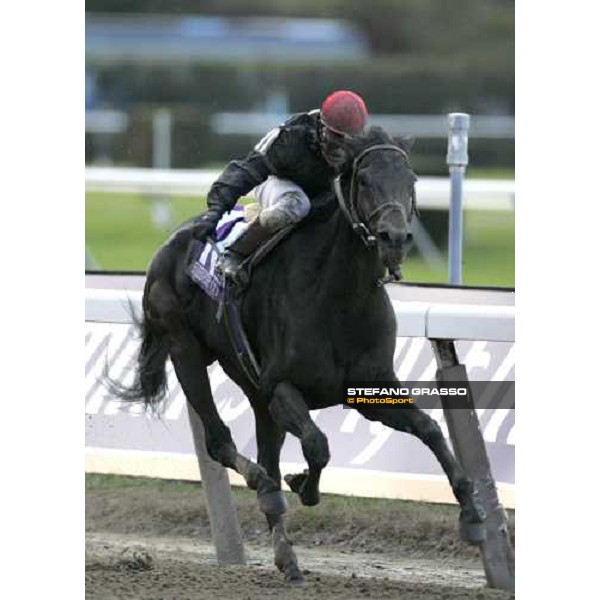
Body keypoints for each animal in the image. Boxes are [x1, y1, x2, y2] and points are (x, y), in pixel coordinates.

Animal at [112, 126, 486, 580]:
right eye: (364, 180)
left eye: (411, 180)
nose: (394, 238)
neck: (340, 298)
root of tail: (169, 245)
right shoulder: (282, 387)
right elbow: (317, 444)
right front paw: (303, 485)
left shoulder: (370, 393)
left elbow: (431, 430)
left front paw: (473, 514)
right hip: (186, 352)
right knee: (222, 444)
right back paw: (266, 488)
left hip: (252, 390)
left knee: (265, 456)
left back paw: (286, 554)